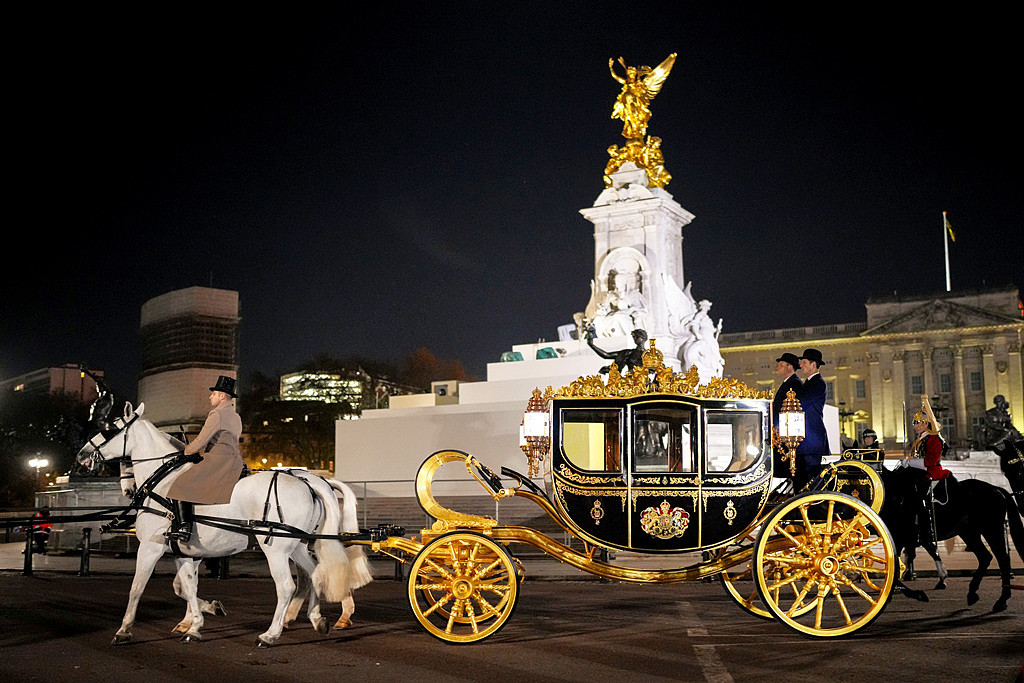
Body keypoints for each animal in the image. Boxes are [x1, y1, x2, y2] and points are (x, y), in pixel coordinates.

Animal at [77, 403, 370, 651]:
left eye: (110, 428)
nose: (82, 454)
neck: (163, 483)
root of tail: (309, 482)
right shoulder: (185, 552)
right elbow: (186, 587)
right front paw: (198, 621)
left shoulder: (151, 547)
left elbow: (137, 588)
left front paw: (124, 630)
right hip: (296, 546)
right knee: (313, 575)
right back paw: (316, 618)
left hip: (275, 549)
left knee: (287, 586)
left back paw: (271, 634)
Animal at [876, 466, 1019, 610]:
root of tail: (996, 488)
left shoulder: (899, 539)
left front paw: (918, 592)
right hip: (969, 533)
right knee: (985, 557)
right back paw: (973, 593)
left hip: (991, 530)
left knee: (1003, 558)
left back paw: (1002, 600)